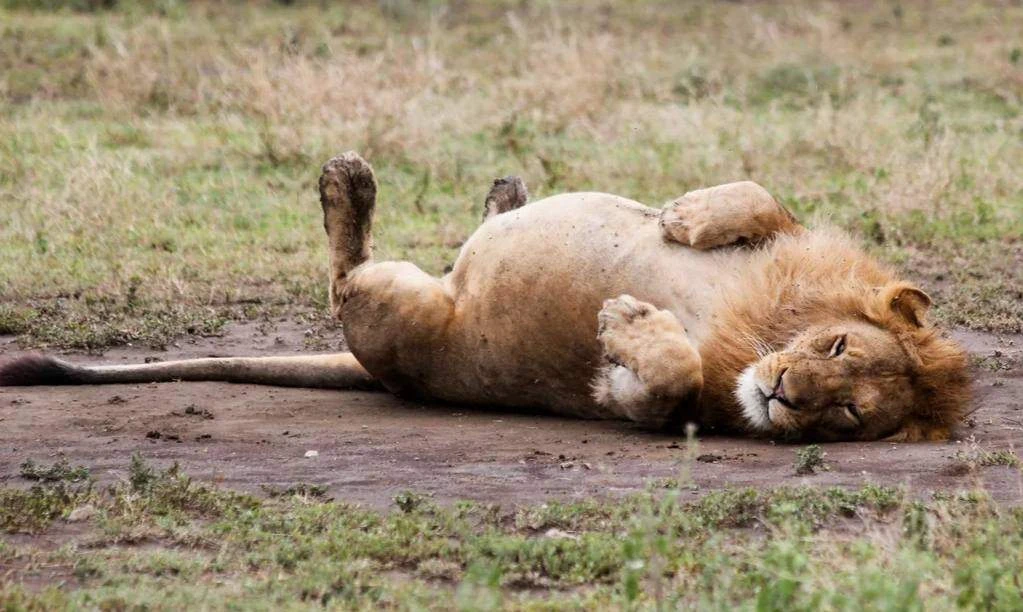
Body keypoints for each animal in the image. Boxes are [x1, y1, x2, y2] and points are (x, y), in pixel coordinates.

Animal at [0, 152, 970, 441]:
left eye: (846, 415)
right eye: (835, 348)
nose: (783, 395)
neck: (753, 337)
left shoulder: (658, 405)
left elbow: (659, 382)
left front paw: (625, 321)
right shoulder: (796, 249)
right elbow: (763, 197)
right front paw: (687, 217)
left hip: (405, 308)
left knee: (346, 278)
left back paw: (347, 185)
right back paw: (502, 192)